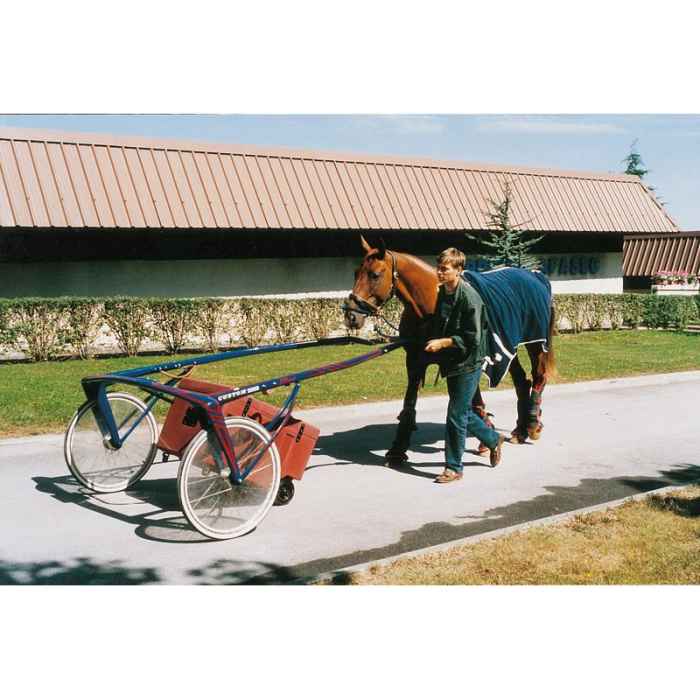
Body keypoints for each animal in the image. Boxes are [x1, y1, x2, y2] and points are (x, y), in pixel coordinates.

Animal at [344, 238, 556, 468]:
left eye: (374, 274)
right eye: (355, 272)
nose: (351, 316)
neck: (430, 304)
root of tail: (536, 277)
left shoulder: (462, 360)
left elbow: (472, 402)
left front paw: (486, 438)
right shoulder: (415, 362)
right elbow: (410, 405)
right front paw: (398, 450)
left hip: (535, 343)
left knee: (539, 377)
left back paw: (533, 424)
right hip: (510, 347)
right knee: (521, 381)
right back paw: (520, 430)